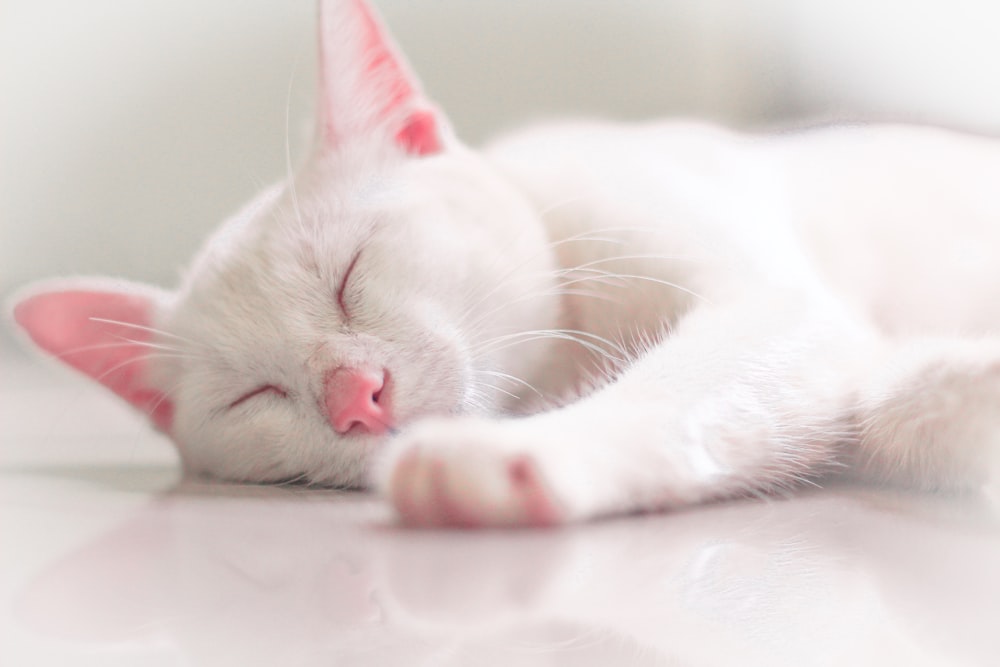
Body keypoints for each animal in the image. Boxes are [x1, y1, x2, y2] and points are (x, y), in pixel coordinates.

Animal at [7, 0, 1000, 528]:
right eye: (253, 393)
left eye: (349, 273)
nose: (355, 395)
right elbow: (892, 405)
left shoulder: (772, 303)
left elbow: (672, 392)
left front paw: (516, 454)